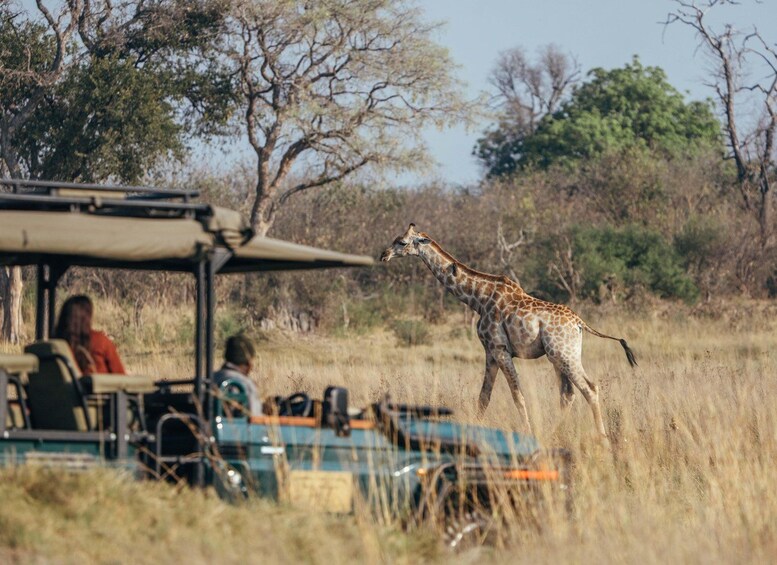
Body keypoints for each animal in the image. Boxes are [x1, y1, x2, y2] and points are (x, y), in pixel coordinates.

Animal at [380, 224, 636, 439]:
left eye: (402, 242)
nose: (384, 255)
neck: (478, 299)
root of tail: (580, 323)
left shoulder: (500, 349)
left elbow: (517, 396)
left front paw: (528, 434)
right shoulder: (490, 352)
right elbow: (484, 397)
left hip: (564, 354)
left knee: (589, 388)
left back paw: (602, 439)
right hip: (557, 357)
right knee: (567, 394)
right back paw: (553, 434)